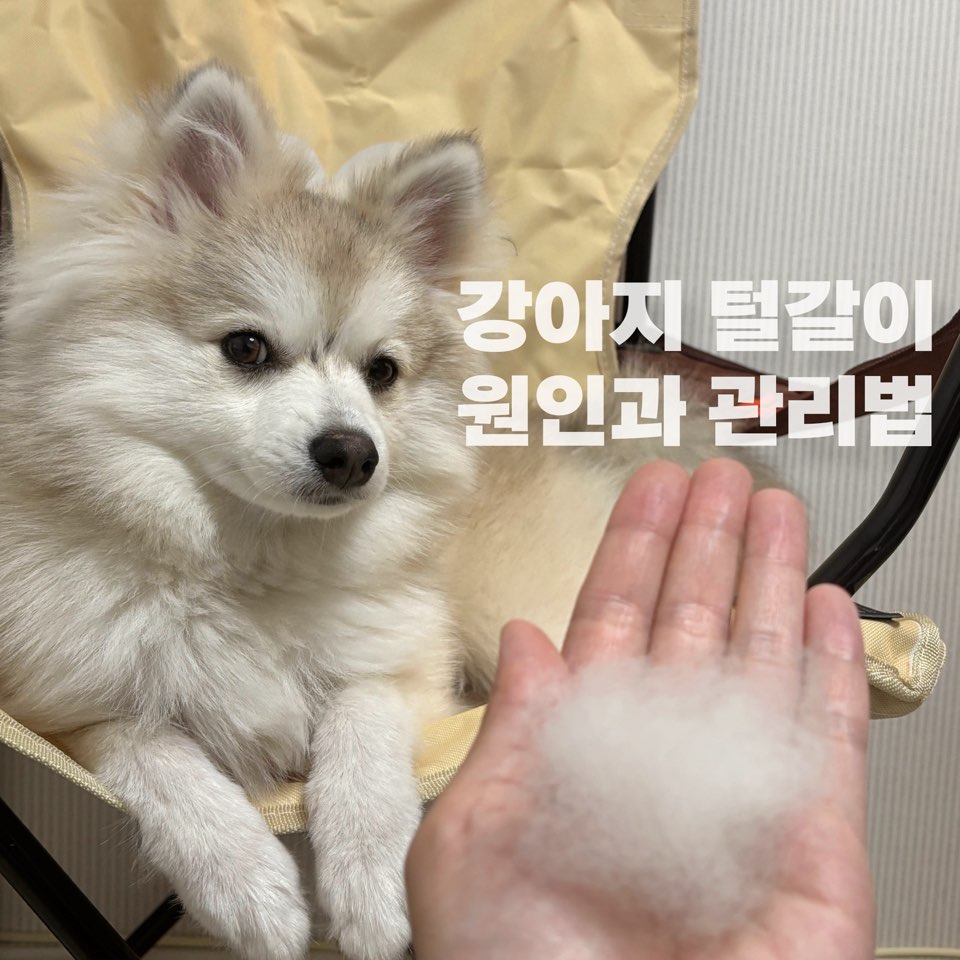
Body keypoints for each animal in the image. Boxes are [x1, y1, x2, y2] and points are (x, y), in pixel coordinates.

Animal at [0, 64, 744, 959]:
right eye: (246, 348)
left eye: (382, 372)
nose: (352, 451)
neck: (256, 564)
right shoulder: (64, 708)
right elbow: (159, 755)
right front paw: (246, 880)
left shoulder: (403, 668)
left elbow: (362, 741)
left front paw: (373, 879)